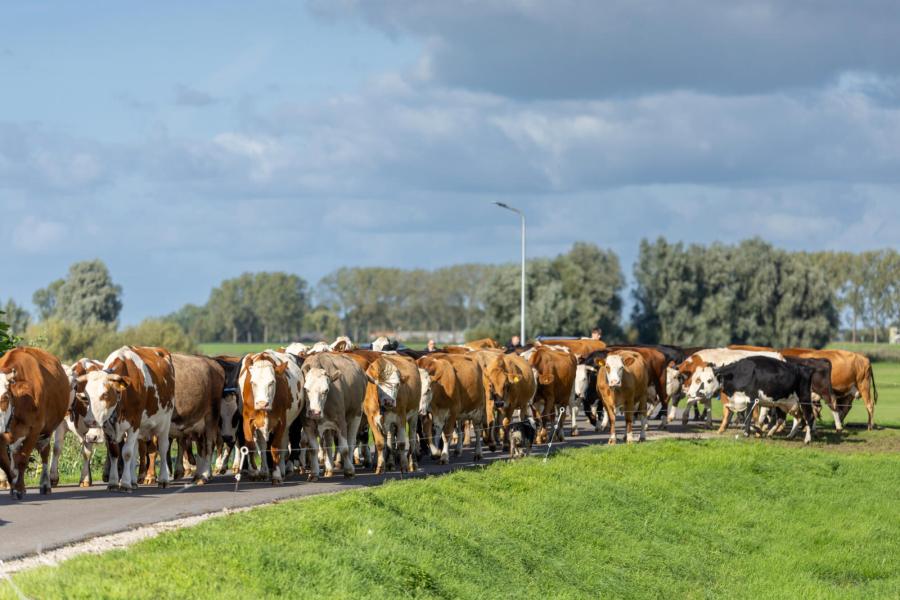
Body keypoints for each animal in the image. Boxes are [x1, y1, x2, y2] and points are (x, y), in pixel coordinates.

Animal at [0, 347, 69, 499]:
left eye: (4, 397)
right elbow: (6, 462)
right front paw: (14, 486)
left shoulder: (34, 430)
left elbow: (22, 460)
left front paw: (19, 489)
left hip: (47, 430)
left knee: (45, 452)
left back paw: (45, 485)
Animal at [50, 358, 103, 488]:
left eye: (74, 386)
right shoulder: (61, 425)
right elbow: (57, 448)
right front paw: (53, 478)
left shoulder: (90, 430)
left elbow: (86, 453)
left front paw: (85, 479)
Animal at [79, 346, 175, 491]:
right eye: (86, 397)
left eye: (105, 394)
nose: (91, 435)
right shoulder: (109, 428)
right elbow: (115, 453)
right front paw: (114, 482)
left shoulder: (134, 423)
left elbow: (127, 453)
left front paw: (124, 483)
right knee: (136, 451)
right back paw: (134, 481)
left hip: (165, 420)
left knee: (163, 448)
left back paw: (163, 480)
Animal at [239, 351, 304, 484]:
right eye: (253, 383)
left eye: (272, 382)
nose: (262, 403)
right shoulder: (247, 420)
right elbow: (251, 447)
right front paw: (254, 473)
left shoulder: (281, 422)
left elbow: (275, 448)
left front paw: (277, 475)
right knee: (263, 446)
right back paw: (264, 471)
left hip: (291, 424)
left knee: (288, 442)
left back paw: (285, 469)